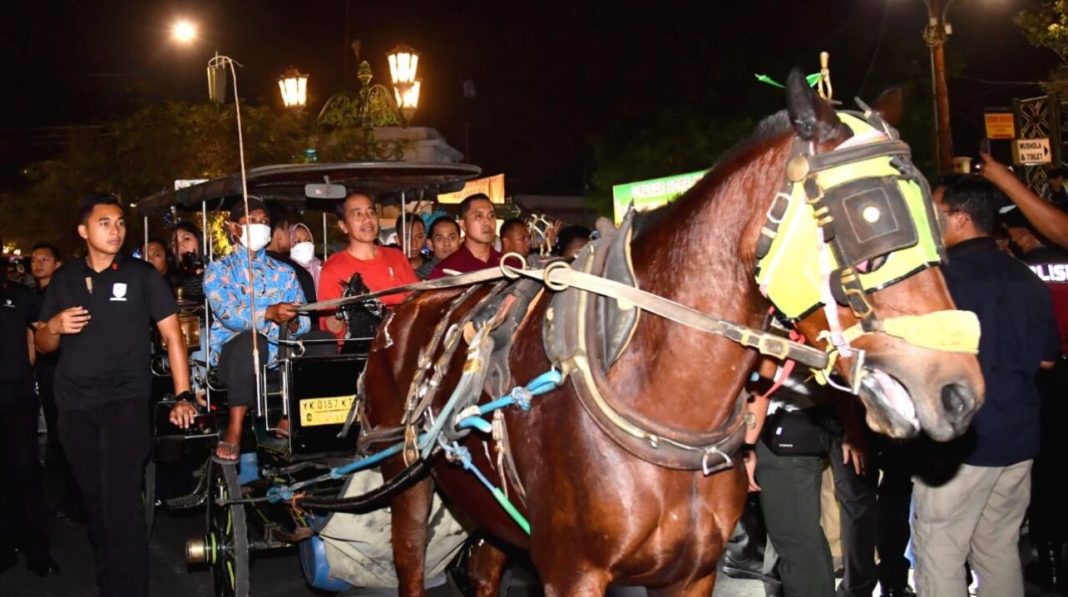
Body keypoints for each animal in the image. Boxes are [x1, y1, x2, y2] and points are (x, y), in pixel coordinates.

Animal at [360, 72, 982, 593]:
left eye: (934, 219)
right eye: (870, 217)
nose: (959, 392)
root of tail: (405, 305)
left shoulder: (692, 573)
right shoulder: (572, 572)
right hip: (406, 481)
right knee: (411, 560)